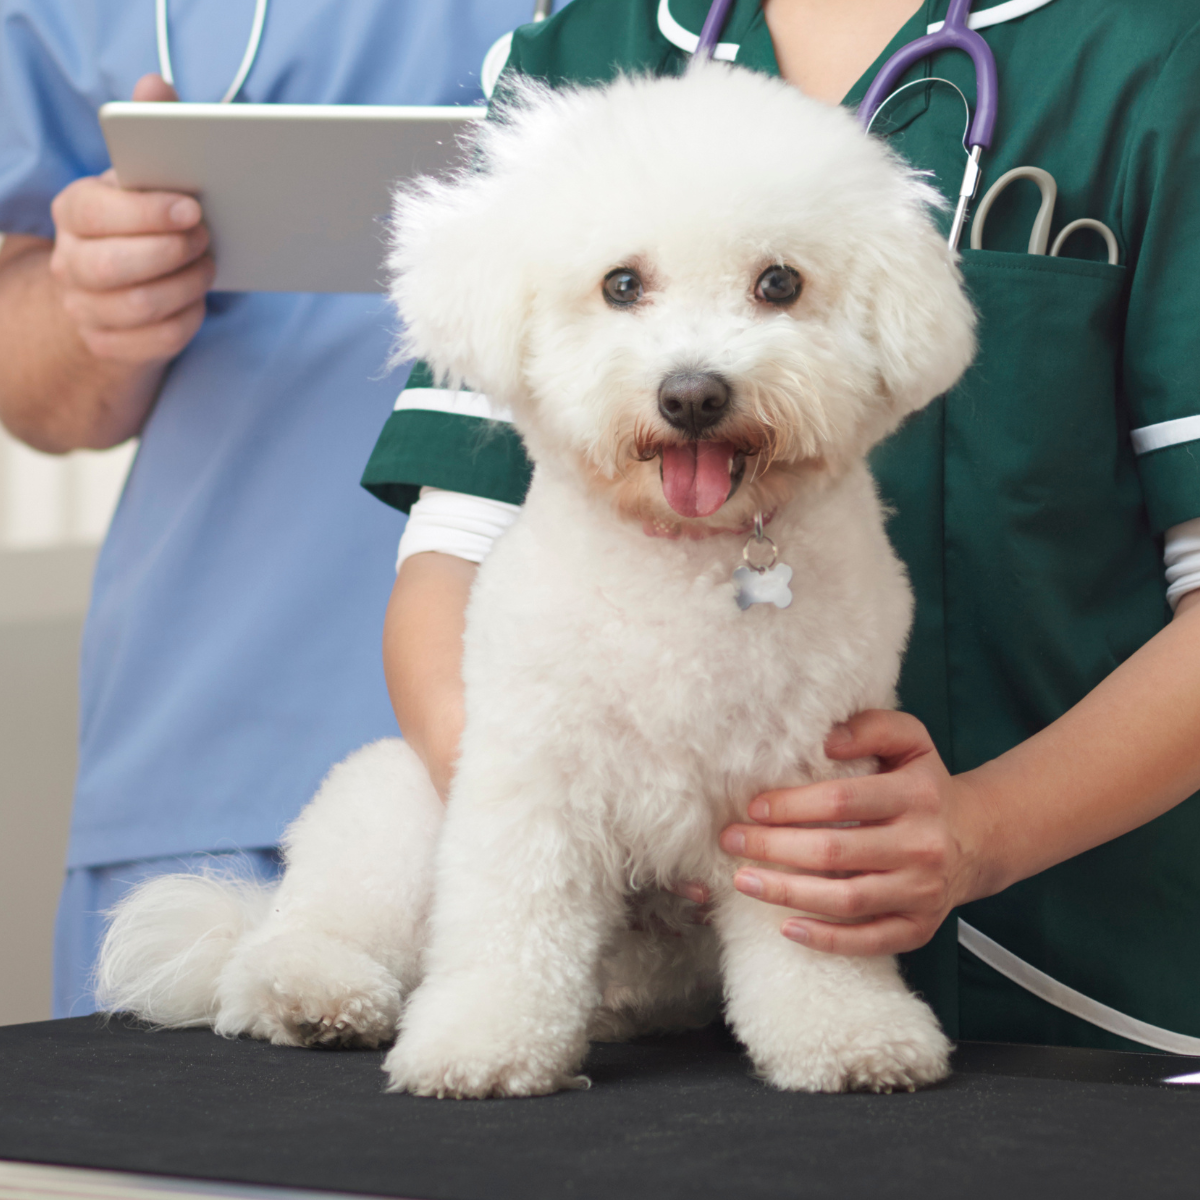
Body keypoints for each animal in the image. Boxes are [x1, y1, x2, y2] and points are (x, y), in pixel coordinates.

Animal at [96, 63, 974, 1099]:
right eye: (622, 284)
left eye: (780, 283)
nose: (692, 393)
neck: (686, 561)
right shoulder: (533, 777)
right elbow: (512, 925)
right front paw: (483, 1044)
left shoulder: (813, 790)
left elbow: (814, 939)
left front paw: (850, 1035)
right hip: (395, 818)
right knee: (291, 942)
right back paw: (313, 995)